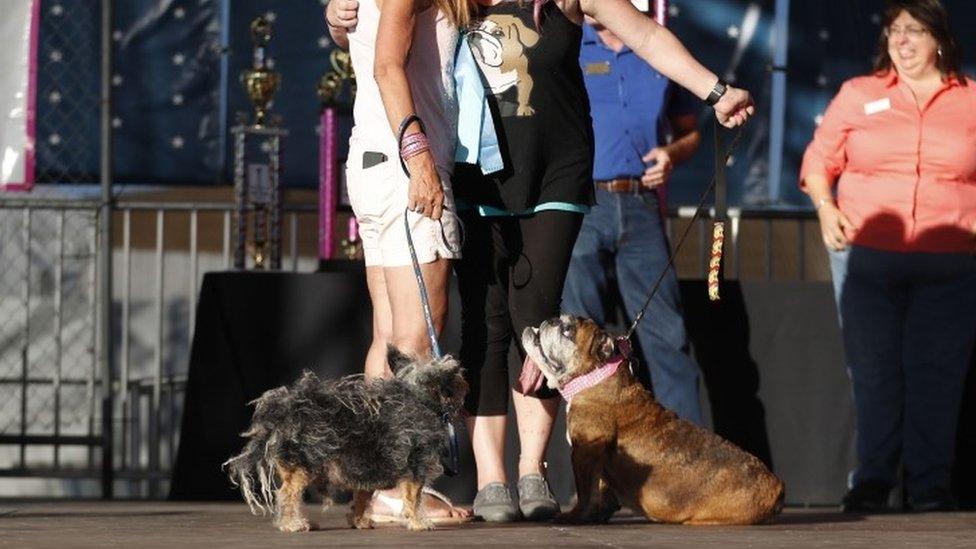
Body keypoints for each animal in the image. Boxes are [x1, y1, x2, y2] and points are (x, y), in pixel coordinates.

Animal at [223, 346, 468, 532]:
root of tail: (283, 411)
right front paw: (418, 522)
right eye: (452, 370)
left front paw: (358, 521)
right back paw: (292, 524)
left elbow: (361, 499)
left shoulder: (368, 471)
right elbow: (413, 498)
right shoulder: (415, 467)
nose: (460, 370)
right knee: (286, 495)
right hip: (301, 467)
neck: (418, 397)